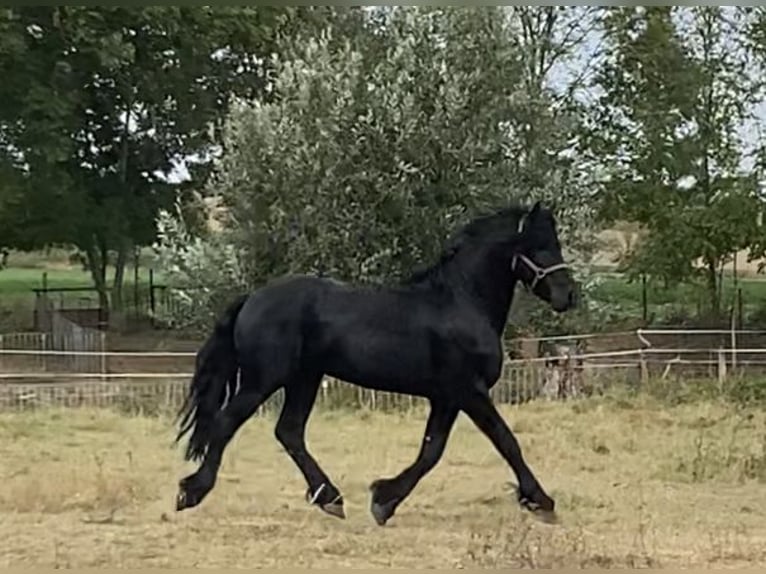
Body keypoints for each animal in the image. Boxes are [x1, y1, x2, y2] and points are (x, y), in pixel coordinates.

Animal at [177, 201, 580, 528]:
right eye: (541, 244)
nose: (568, 296)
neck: (460, 302)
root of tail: (251, 298)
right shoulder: (469, 391)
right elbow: (505, 441)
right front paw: (541, 502)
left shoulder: (446, 398)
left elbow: (431, 451)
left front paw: (384, 500)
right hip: (264, 379)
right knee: (227, 423)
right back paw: (191, 492)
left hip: (304, 378)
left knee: (288, 432)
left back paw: (331, 499)